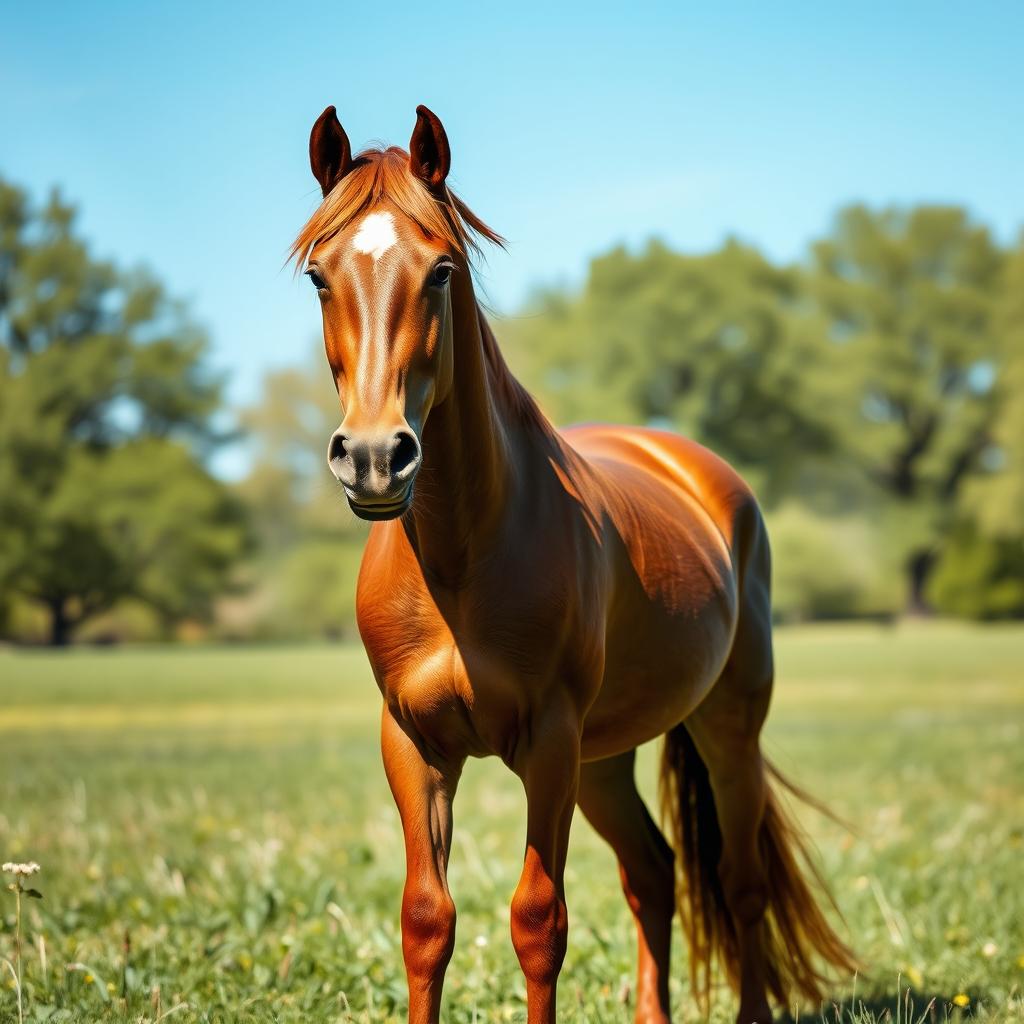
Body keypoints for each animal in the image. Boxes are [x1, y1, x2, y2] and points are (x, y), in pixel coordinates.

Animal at [290, 104, 857, 1024]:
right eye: (318, 276)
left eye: (441, 270)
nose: (374, 458)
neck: (463, 556)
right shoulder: (413, 744)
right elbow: (426, 920)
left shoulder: (550, 742)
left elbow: (537, 920)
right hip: (605, 761)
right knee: (654, 872)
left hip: (725, 729)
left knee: (739, 884)